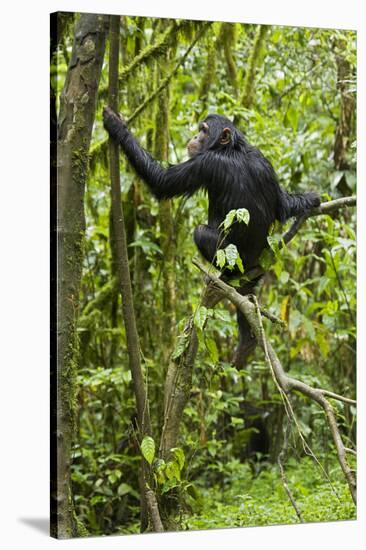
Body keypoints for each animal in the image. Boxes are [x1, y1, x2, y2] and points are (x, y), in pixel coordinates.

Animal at [103, 107, 320, 366]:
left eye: (204, 131)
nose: (195, 137)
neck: (231, 149)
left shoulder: (205, 163)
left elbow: (162, 181)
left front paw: (116, 126)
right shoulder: (264, 161)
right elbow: (282, 205)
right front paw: (311, 199)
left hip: (235, 259)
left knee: (200, 232)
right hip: (257, 268)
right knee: (247, 293)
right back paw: (247, 342)